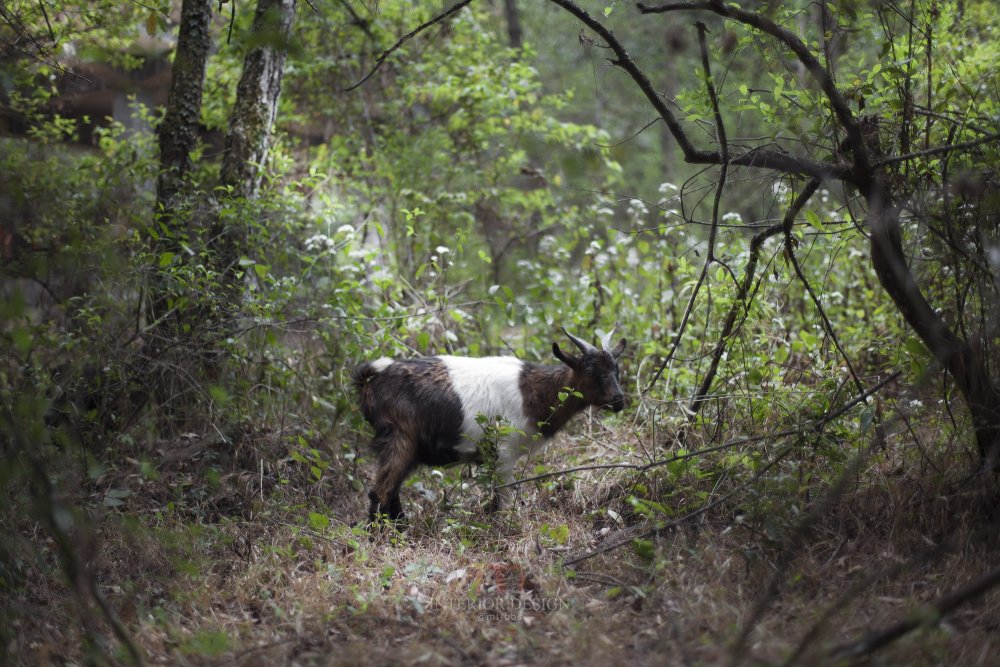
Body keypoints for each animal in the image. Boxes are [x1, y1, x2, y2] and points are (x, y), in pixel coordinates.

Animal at [352, 332, 624, 524]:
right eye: (589, 370)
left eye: (616, 369)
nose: (619, 400)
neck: (533, 391)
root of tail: (370, 383)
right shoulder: (504, 452)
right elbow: (504, 497)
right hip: (399, 438)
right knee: (381, 491)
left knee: (392, 490)